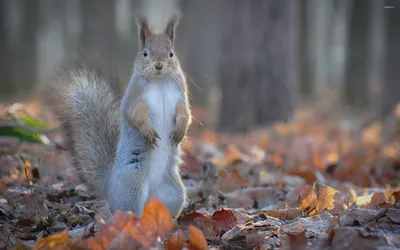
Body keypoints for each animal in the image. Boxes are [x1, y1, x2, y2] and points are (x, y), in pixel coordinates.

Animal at [44, 13, 191, 218]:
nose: (159, 65)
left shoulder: (180, 95)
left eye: (171, 53)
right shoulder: (135, 97)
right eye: (145, 53)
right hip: (131, 185)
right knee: (127, 211)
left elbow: (185, 113)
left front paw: (180, 130)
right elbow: (135, 114)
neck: (160, 82)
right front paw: (147, 131)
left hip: (174, 192)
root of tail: (110, 184)